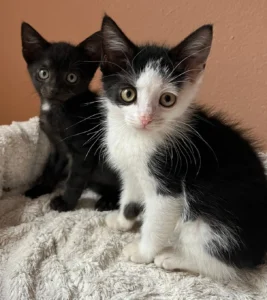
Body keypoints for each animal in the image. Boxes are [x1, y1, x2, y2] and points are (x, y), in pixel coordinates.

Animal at [21, 21, 120, 211]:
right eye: (43, 73)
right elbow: (51, 170)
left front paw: (65, 203)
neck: (58, 109)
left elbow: (74, 180)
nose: (54, 89)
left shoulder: (83, 151)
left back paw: (109, 200)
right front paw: (41, 189)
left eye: (72, 77)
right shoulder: (57, 147)